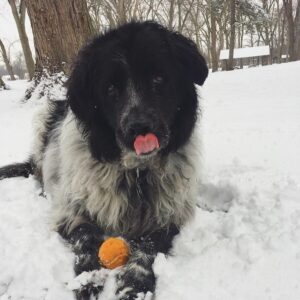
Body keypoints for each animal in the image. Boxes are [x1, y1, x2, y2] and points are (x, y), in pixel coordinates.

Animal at [0, 21, 207, 300]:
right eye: (110, 89)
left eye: (158, 78)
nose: (139, 127)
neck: (136, 174)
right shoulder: (71, 210)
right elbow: (85, 237)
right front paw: (88, 280)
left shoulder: (169, 216)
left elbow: (148, 247)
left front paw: (134, 284)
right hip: (42, 118)